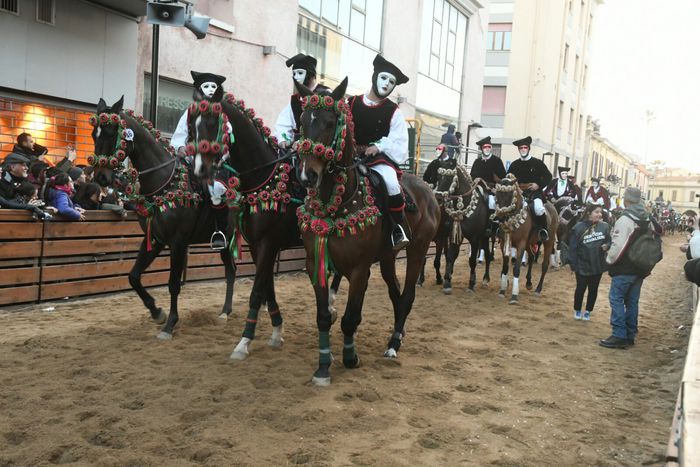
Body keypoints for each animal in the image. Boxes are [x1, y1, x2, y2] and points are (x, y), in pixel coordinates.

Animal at [90, 95, 237, 338]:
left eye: (111, 133)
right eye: (95, 133)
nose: (101, 177)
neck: (164, 182)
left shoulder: (177, 242)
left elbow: (173, 284)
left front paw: (170, 324)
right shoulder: (155, 238)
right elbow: (133, 276)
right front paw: (156, 311)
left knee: (237, 270)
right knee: (232, 271)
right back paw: (226, 312)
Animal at [292, 77, 440, 388]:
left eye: (331, 122)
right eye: (302, 121)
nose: (308, 175)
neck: (334, 204)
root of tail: (428, 191)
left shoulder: (360, 269)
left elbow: (350, 318)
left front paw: (350, 358)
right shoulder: (316, 262)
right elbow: (324, 316)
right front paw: (323, 366)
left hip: (417, 251)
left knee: (407, 296)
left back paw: (394, 344)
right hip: (387, 258)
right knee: (396, 294)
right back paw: (398, 335)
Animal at [492, 175, 556, 304]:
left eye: (510, 195)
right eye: (497, 195)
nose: (500, 218)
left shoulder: (521, 244)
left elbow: (516, 269)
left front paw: (514, 296)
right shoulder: (504, 243)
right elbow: (505, 268)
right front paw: (502, 291)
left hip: (548, 242)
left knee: (544, 265)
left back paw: (538, 289)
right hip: (529, 243)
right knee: (531, 256)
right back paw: (529, 283)